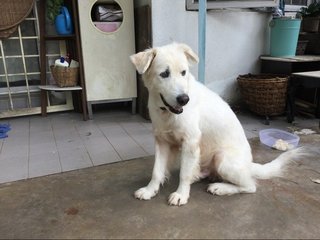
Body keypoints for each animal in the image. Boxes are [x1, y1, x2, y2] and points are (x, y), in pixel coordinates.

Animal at [129, 41, 304, 206]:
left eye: (183, 72)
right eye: (164, 74)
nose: (184, 99)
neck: (166, 112)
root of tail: (249, 164)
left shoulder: (191, 142)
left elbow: (184, 174)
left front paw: (181, 195)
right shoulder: (162, 141)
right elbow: (157, 171)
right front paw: (150, 190)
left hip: (222, 158)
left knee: (250, 186)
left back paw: (220, 187)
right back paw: (200, 176)